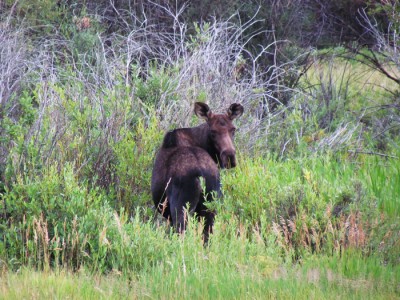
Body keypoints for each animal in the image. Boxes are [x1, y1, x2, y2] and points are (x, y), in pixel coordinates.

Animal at [151, 102, 242, 243]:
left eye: (233, 129)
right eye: (212, 132)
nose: (229, 156)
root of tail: (201, 174)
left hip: (182, 207)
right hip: (211, 206)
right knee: (207, 237)